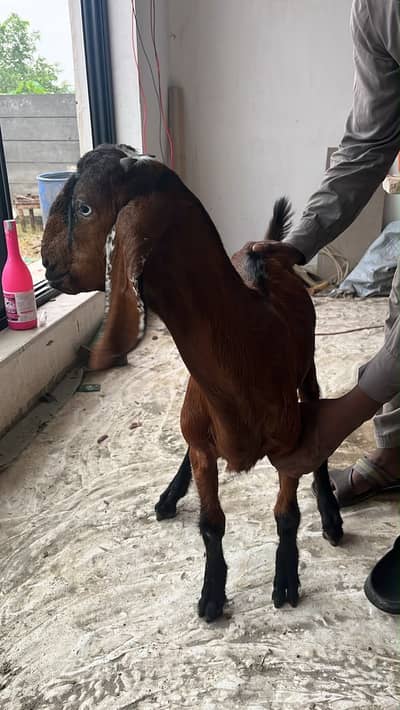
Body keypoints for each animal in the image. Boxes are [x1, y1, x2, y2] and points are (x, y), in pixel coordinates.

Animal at [41, 145, 343, 621]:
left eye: (84, 207)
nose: (47, 263)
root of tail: (260, 250)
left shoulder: (287, 445)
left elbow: (287, 515)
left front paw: (286, 578)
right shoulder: (203, 439)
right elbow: (211, 522)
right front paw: (212, 593)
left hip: (308, 370)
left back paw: (330, 513)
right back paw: (170, 495)